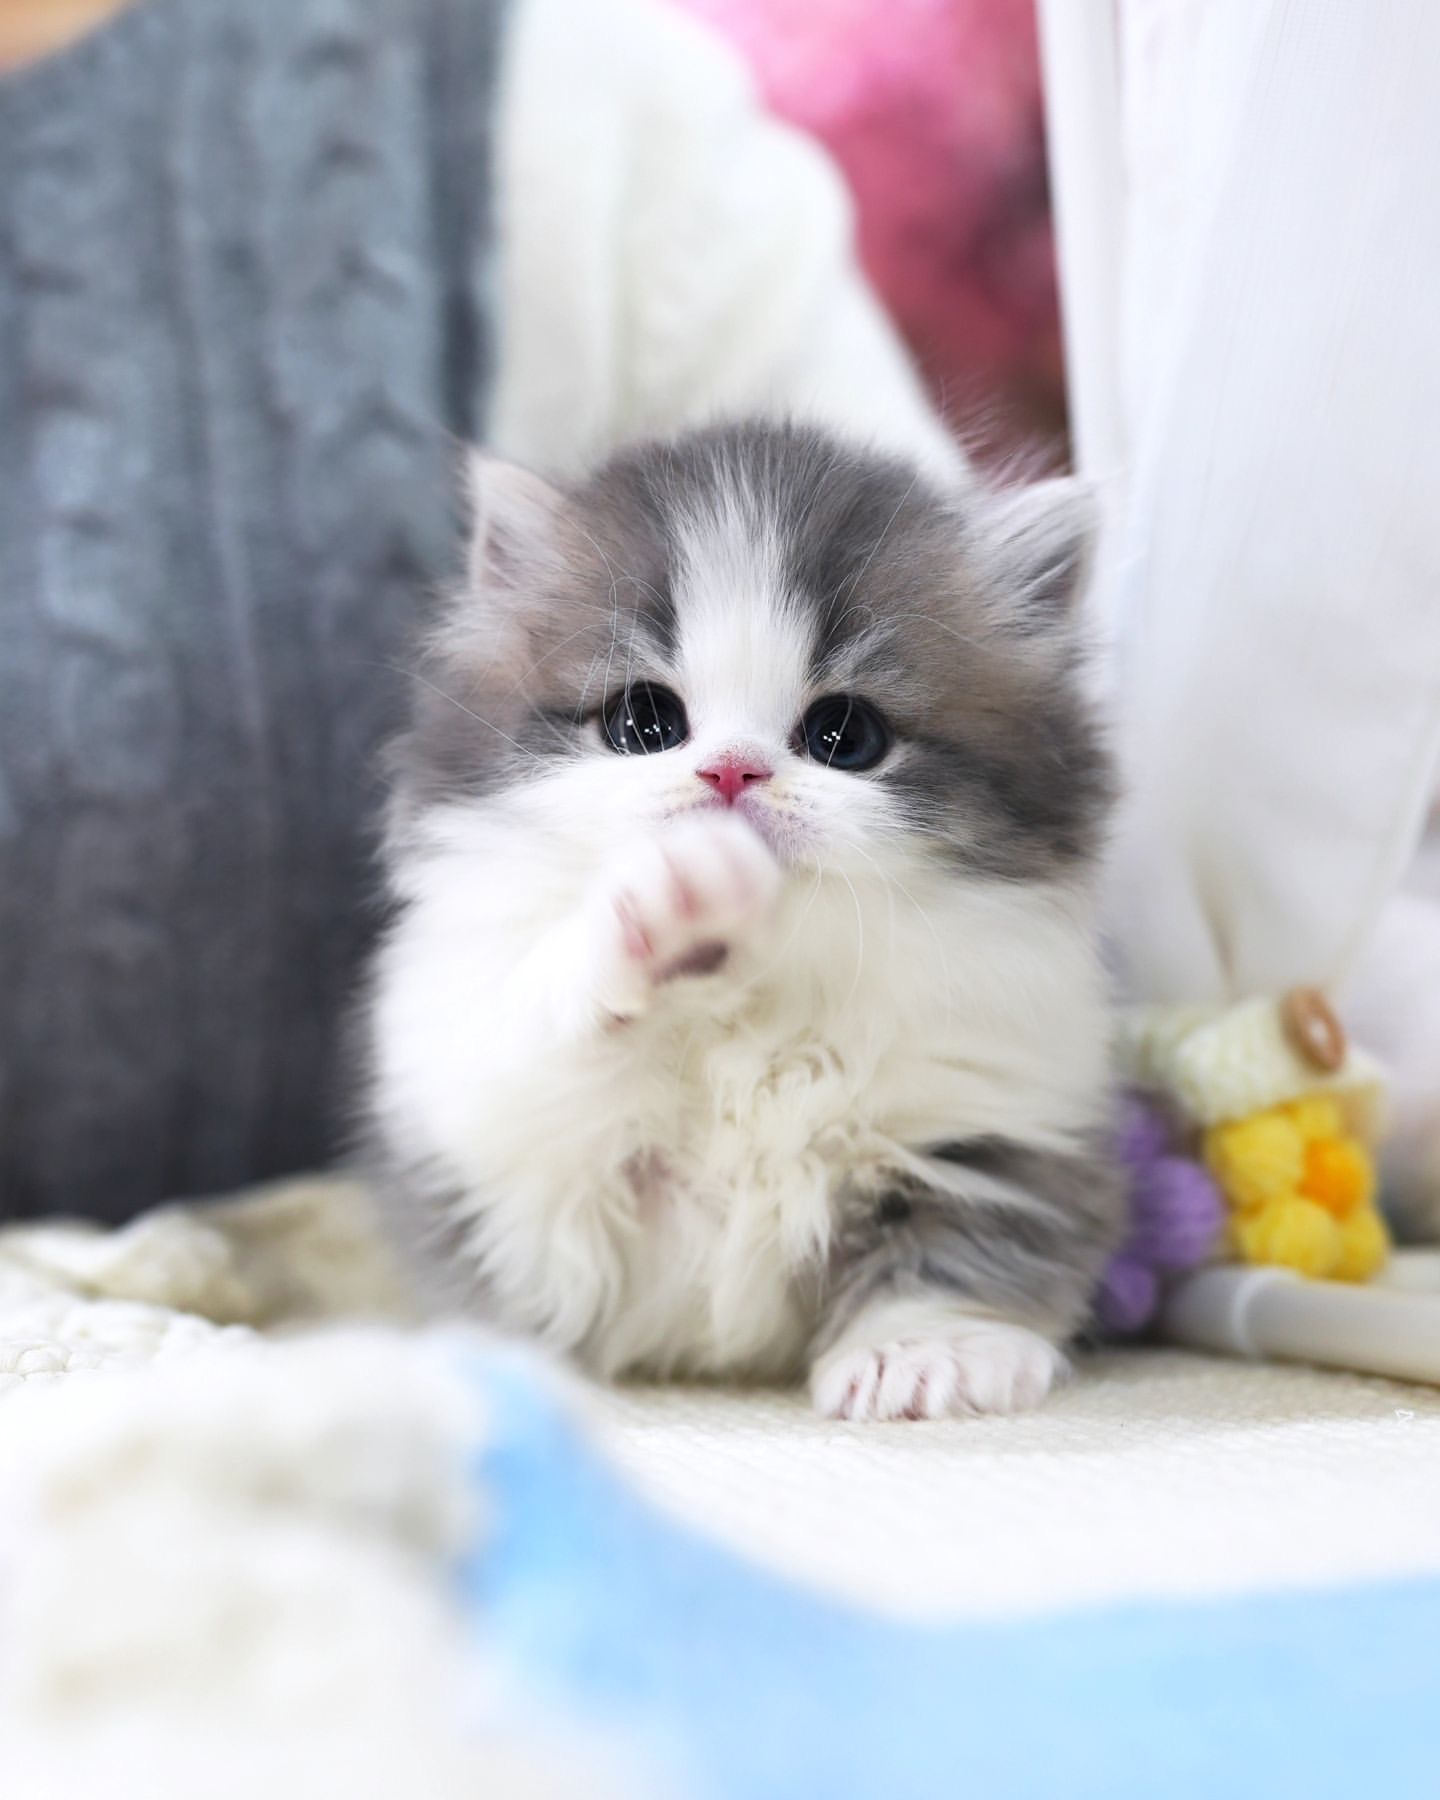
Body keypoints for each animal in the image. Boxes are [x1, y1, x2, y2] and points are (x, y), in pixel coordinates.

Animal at [363, 417, 1123, 1418]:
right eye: (644, 721)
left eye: (846, 735)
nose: (731, 771)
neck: (760, 990)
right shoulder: (510, 1148)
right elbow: (563, 1047)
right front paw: (670, 906)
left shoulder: (996, 1121)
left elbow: (962, 1247)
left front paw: (922, 1354)